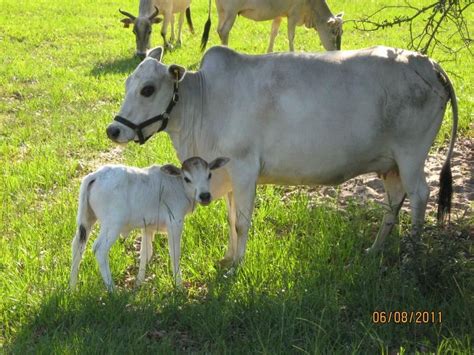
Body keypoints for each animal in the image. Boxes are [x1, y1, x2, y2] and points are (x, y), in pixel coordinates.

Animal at [70, 157, 230, 290]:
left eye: (209, 175)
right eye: (187, 178)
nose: (205, 196)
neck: (178, 186)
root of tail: (96, 175)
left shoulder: (147, 227)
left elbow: (145, 253)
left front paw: (138, 282)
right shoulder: (175, 223)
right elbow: (174, 253)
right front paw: (179, 286)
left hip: (87, 219)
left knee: (78, 246)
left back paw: (72, 288)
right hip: (112, 224)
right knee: (99, 249)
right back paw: (112, 290)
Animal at [106, 46, 456, 270]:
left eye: (148, 89)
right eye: (127, 84)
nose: (113, 130)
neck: (203, 102)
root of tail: (427, 63)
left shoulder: (244, 169)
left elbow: (242, 223)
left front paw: (236, 267)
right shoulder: (225, 175)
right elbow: (231, 220)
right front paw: (228, 258)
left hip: (411, 156)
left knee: (419, 196)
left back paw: (411, 257)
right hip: (391, 165)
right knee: (394, 202)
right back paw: (374, 250)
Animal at [201, 0, 344, 52]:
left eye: (341, 32)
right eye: (334, 33)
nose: (337, 51)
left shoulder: (279, 14)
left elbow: (274, 33)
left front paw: (269, 52)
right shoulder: (293, 14)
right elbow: (291, 36)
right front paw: (292, 53)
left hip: (222, 12)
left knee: (219, 30)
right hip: (231, 11)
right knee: (224, 31)